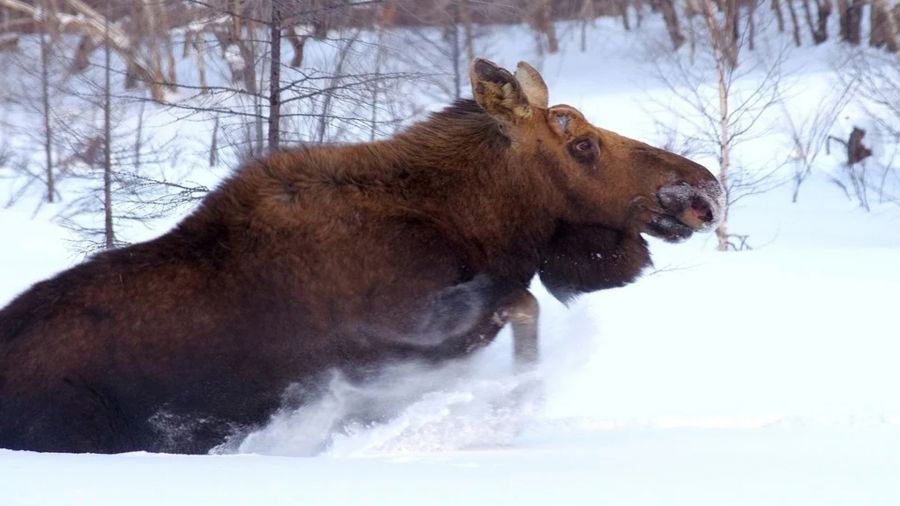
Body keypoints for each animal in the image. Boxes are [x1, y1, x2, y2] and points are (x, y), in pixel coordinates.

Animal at [0, 59, 716, 454]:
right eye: (582, 144)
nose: (702, 190)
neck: (479, 224)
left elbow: (523, 303)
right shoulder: (407, 328)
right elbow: (523, 304)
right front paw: (508, 408)